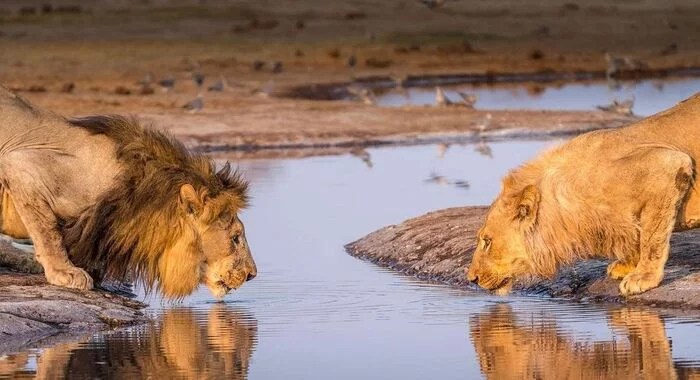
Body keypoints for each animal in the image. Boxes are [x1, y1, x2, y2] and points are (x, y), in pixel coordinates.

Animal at [464, 93, 700, 296]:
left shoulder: (667, 166)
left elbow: (652, 238)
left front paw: (643, 277)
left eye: (487, 241)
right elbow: (637, 236)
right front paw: (626, 265)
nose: (472, 279)